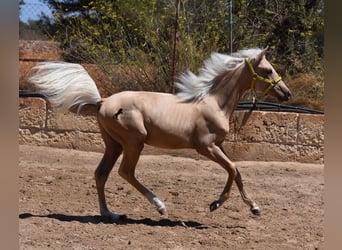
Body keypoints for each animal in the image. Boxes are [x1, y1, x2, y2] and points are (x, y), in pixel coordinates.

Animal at [29, 47, 292, 220]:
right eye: (267, 70)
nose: (286, 93)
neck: (214, 103)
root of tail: (102, 101)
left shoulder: (220, 145)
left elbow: (236, 171)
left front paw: (254, 207)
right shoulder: (206, 147)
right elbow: (233, 169)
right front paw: (216, 204)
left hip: (114, 144)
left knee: (101, 173)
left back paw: (109, 214)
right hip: (133, 142)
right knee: (125, 172)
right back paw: (160, 206)